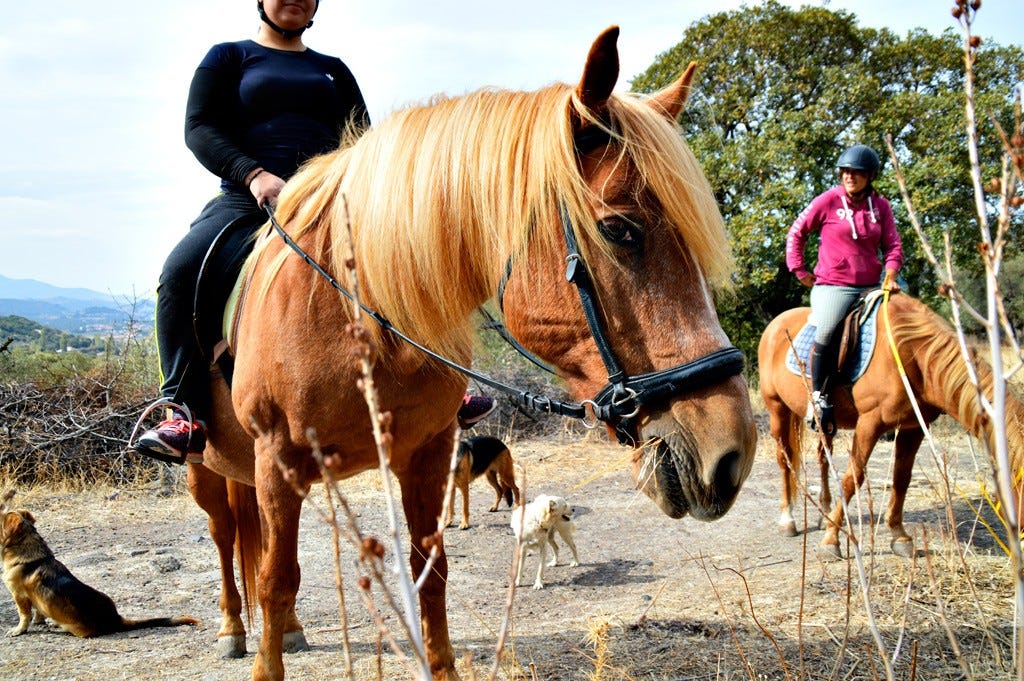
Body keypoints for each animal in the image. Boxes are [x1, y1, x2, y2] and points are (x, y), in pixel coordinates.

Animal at [1, 509, 199, 639]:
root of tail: (116, 619)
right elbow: (38, 612)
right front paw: (39, 621)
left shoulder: (18, 595)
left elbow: (24, 615)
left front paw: (19, 630)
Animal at [192, 27, 757, 679]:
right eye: (620, 230)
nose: (731, 454)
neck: (352, 317)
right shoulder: (279, 460)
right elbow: (276, 579)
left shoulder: (427, 454)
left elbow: (428, 571)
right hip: (210, 471)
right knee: (228, 542)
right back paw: (233, 629)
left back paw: (287, 630)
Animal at [761, 292, 1024, 557]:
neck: (911, 355)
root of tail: (776, 324)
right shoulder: (869, 423)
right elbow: (853, 477)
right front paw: (831, 540)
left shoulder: (913, 428)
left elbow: (901, 479)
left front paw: (900, 536)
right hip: (777, 409)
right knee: (785, 460)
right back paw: (788, 520)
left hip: (825, 423)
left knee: (823, 457)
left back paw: (824, 512)